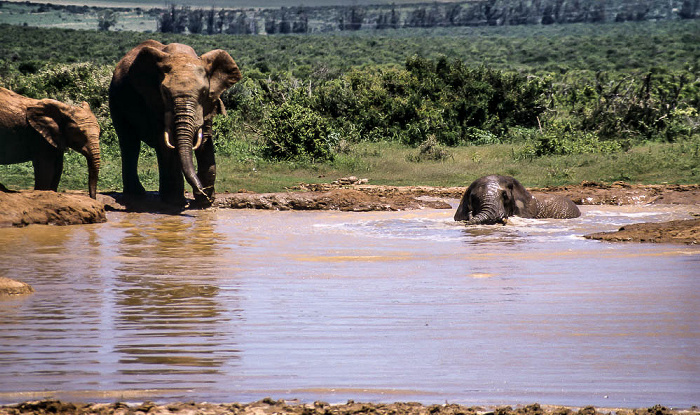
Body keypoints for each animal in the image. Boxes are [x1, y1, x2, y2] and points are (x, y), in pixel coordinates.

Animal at [108, 40, 242, 206]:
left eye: (204, 92)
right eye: (165, 93)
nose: (202, 191)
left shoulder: (208, 103)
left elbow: (204, 139)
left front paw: (205, 201)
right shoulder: (154, 100)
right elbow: (165, 141)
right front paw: (175, 202)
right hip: (115, 100)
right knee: (129, 143)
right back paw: (136, 193)